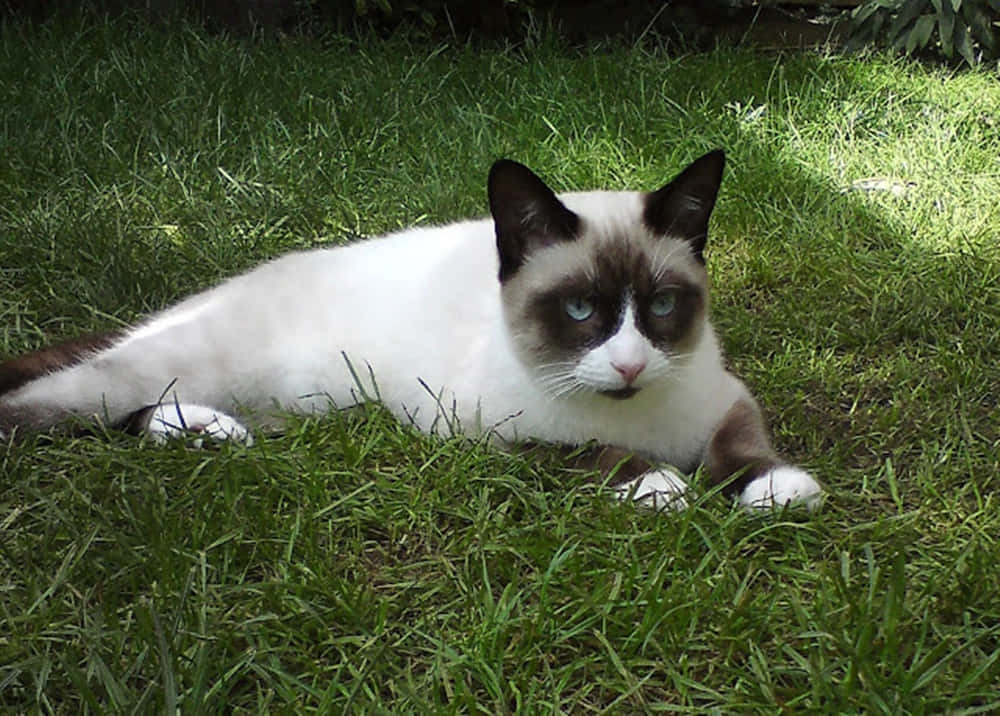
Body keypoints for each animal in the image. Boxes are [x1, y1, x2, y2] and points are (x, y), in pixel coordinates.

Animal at [0, 150, 820, 510]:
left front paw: (775, 489)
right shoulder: (483, 435)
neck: (636, 412)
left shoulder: (725, 396)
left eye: (661, 307)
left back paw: (211, 435)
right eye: (581, 311)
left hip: (281, 409)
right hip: (139, 373)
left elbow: (742, 446)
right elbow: (590, 452)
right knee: (47, 408)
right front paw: (658, 484)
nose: (628, 366)